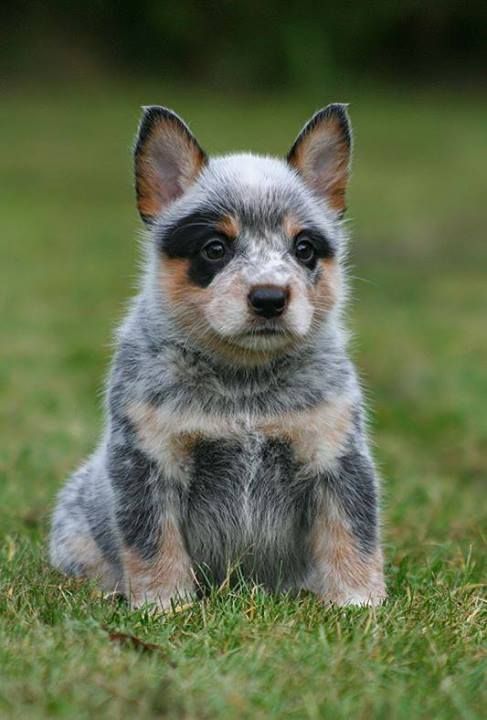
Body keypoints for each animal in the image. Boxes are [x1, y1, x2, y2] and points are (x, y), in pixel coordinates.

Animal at [48, 102, 386, 608]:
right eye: (215, 247)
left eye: (304, 248)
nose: (269, 297)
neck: (243, 385)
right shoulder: (149, 460)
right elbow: (153, 542)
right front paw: (164, 605)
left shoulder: (337, 455)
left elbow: (353, 534)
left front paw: (358, 604)